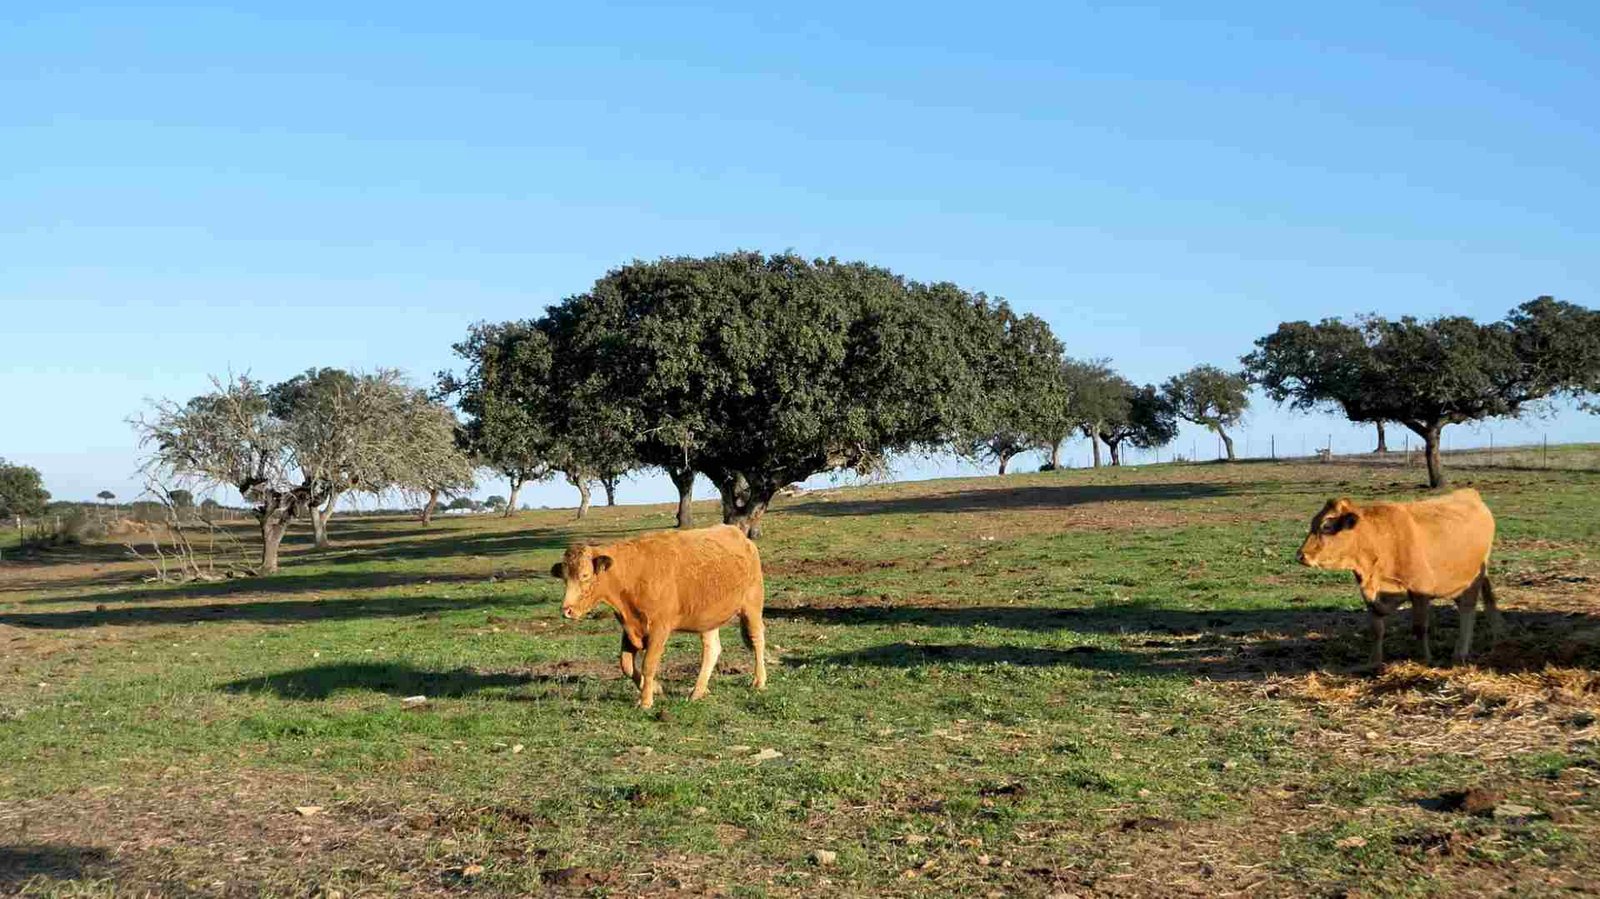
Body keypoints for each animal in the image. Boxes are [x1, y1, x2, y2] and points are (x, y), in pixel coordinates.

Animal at [549, 524, 767, 708]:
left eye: (585, 576)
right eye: (565, 578)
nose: (566, 610)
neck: (630, 576)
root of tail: (740, 535)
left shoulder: (658, 628)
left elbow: (648, 664)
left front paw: (645, 701)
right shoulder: (630, 628)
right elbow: (626, 664)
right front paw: (655, 688)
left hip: (752, 606)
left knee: (757, 640)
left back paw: (759, 681)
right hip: (708, 618)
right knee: (711, 650)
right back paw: (698, 691)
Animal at [1297, 488, 1500, 667]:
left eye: (1326, 526)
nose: (1300, 555)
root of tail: (1470, 493)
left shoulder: (1420, 591)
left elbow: (1419, 628)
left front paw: (1425, 659)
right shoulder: (1372, 595)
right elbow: (1376, 629)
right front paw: (1374, 661)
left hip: (1474, 578)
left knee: (1468, 610)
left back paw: (1460, 652)